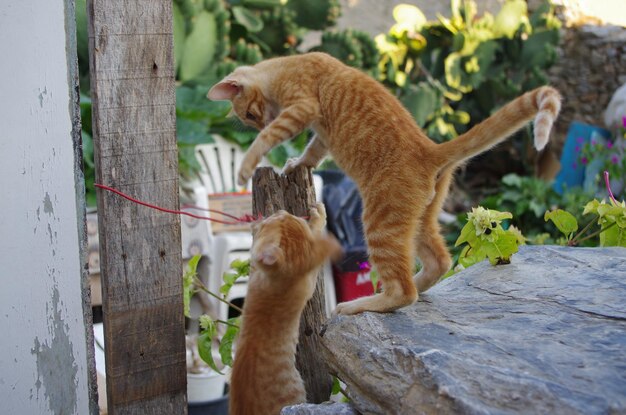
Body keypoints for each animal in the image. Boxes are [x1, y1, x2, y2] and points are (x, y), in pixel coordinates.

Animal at [208, 52, 560, 316]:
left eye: (250, 115)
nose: (259, 122)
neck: (285, 65)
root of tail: (431, 150)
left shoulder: (301, 107)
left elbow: (270, 139)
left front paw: (246, 165)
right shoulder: (319, 134)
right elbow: (312, 152)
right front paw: (296, 163)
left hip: (380, 222)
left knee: (403, 291)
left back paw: (361, 304)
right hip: (418, 222)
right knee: (440, 262)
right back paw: (418, 284)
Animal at [227, 205, 338, 415]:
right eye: (281, 217)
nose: (280, 210)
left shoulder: (257, 267)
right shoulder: (308, 275)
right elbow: (316, 234)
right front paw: (319, 216)